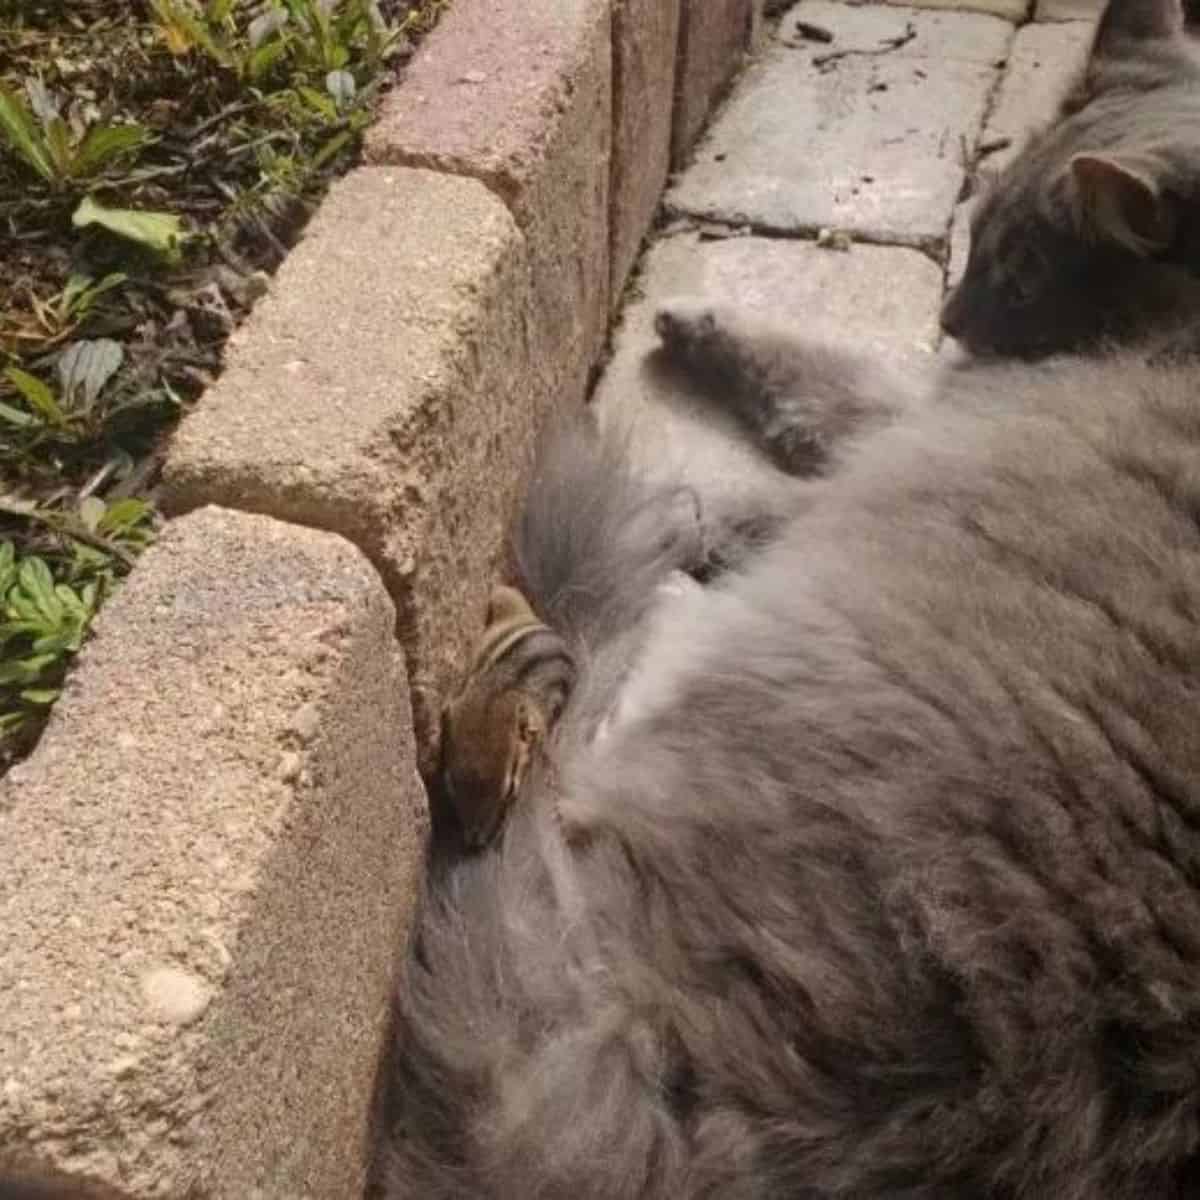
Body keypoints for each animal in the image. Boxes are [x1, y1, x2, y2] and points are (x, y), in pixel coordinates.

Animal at [379, 2, 1200, 1200]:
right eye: (971, 234)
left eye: (1019, 268)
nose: (955, 315)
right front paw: (697, 336)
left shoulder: (935, 413)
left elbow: (816, 401)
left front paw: (703, 407)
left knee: (604, 703)